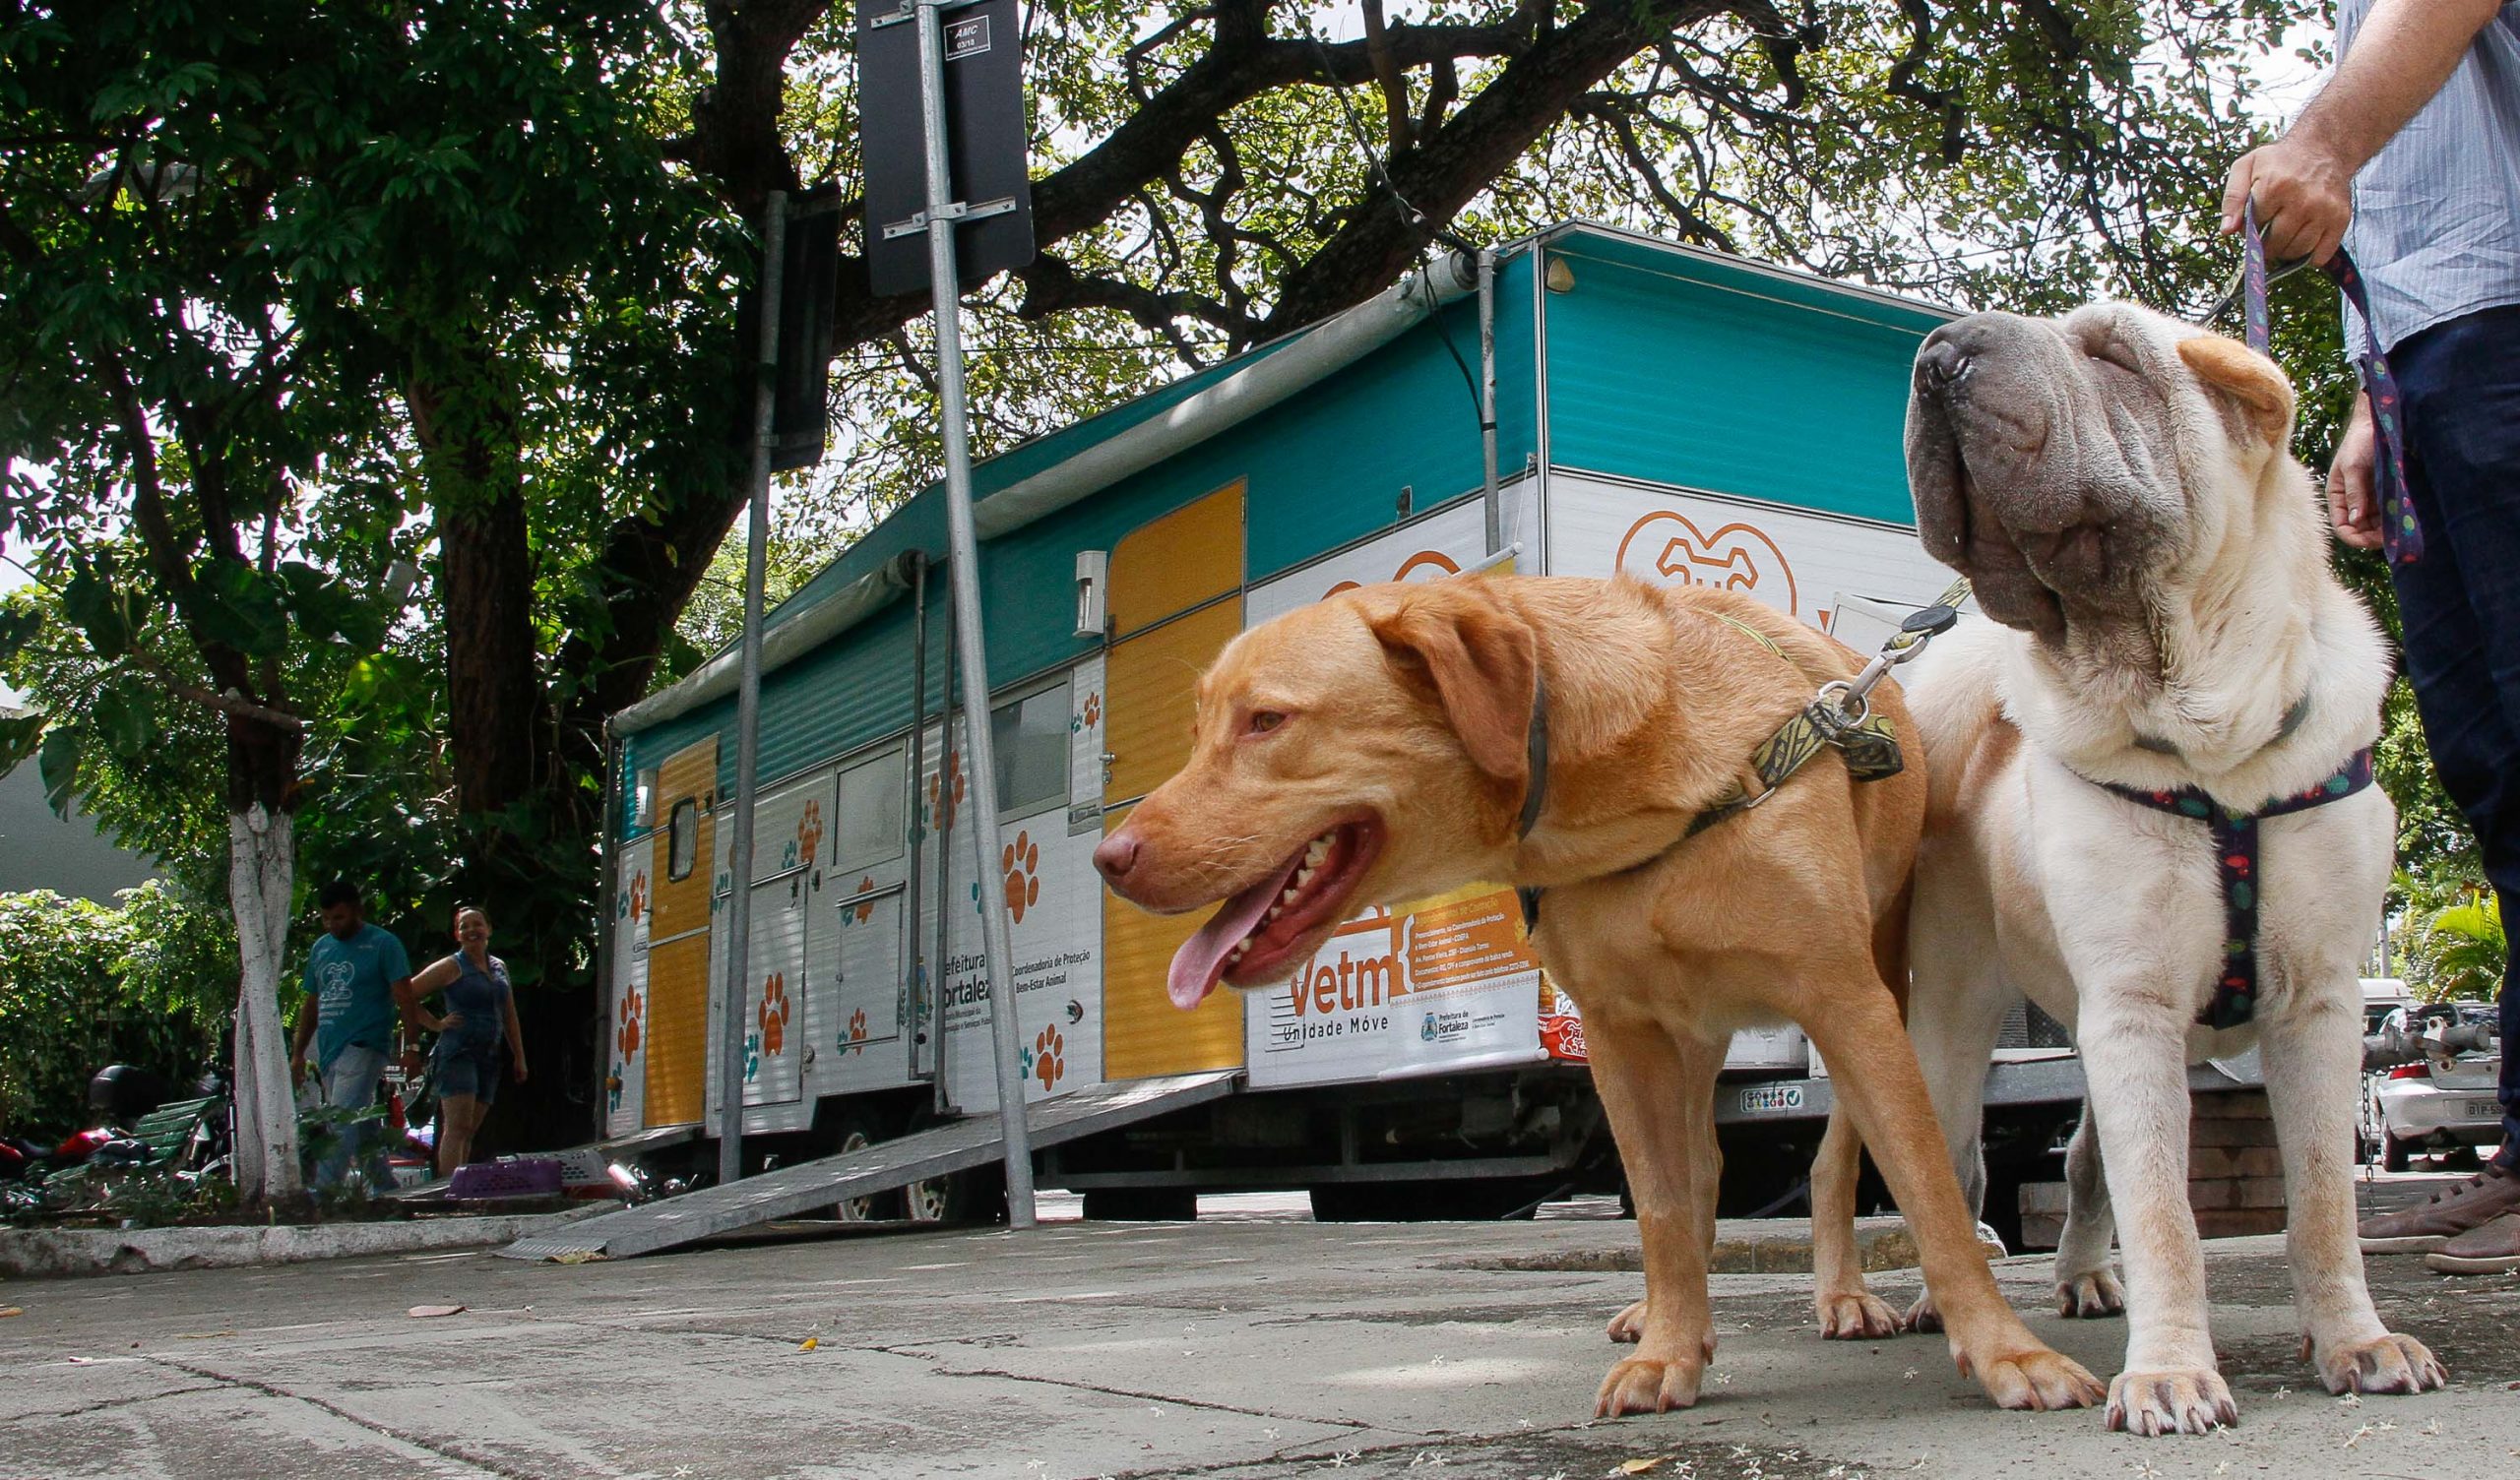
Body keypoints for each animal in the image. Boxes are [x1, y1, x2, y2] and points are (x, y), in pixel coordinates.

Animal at [1094, 571, 2096, 1419]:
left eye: (1267, 720)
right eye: (1198, 731)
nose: (1111, 859)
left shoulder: (1847, 1003)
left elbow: (1929, 1191)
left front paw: (2007, 1352)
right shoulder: (1618, 1036)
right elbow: (1659, 1205)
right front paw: (1670, 1348)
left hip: (1877, 977)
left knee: (1830, 1163)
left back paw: (1841, 1295)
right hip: (1684, 1037)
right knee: (1699, 1171)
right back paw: (1671, 1311)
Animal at [1895, 300, 2449, 1429]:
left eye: (2111, 357)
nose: (1939, 357)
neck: (2207, 740)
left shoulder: (2318, 1003)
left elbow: (2321, 1198)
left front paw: (2356, 1343)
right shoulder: (2133, 1006)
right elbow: (2166, 1213)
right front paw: (2168, 1375)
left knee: (2080, 1163)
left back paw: (2081, 1276)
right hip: (1955, 1024)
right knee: (1958, 1169)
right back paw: (1937, 1293)